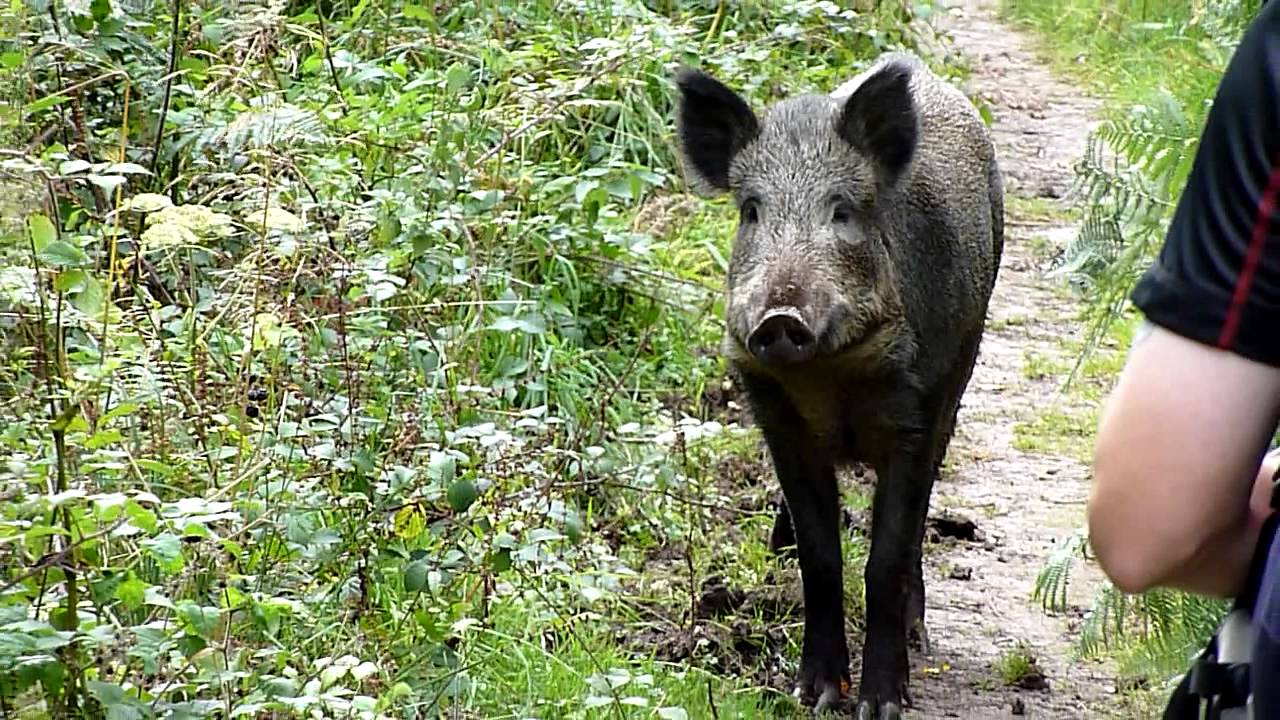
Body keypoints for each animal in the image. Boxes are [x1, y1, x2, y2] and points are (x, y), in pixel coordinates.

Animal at [674, 51, 1003, 718]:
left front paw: (882, 705)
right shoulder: (777, 417)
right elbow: (821, 556)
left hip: (961, 374)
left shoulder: (915, 411)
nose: (780, 316)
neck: (830, 379)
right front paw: (816, 696)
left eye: (843, 210)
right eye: (751, 210)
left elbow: (886, 556)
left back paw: (918, 634)